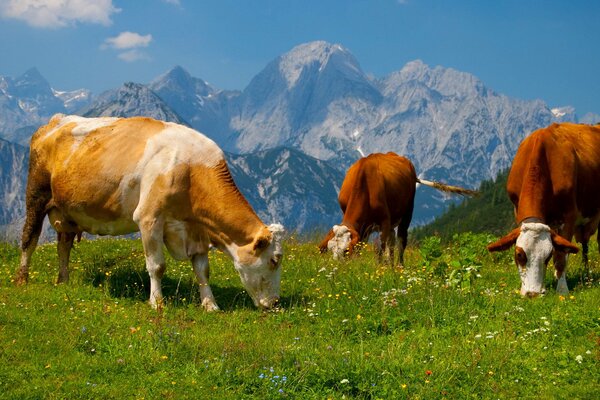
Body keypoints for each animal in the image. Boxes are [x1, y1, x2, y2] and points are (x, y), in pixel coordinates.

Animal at [14, 114, 286, 310]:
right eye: (274, 260)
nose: (275, 303)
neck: (192, 168)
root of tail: (55, 120)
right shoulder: (149, 218)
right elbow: (157, 265)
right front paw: (157, 302)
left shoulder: (196, 229)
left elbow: (202, 269)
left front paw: (210, 304)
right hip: (36, 195)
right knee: (29, 238)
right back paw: (22, 279)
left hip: (67, 211)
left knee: (64, 245)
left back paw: (64, 281)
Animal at [318, 152, 478, 266]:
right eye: (330, 249)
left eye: (345, 250)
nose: (337, 268)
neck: (364, 184)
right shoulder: (363, 227)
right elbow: (363, 246)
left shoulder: (384, 221)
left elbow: (380, 248)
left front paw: (380, 268)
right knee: (392, 241)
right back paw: (391, 265)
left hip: (407, 213)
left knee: (400, 240)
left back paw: (399, 266)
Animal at [488, 123, 600, 296]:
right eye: (519, 255)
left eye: (547, 256)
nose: (532, 294)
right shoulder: (517, 210)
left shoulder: (569, 216)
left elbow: (560, 256)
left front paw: (562, 289)